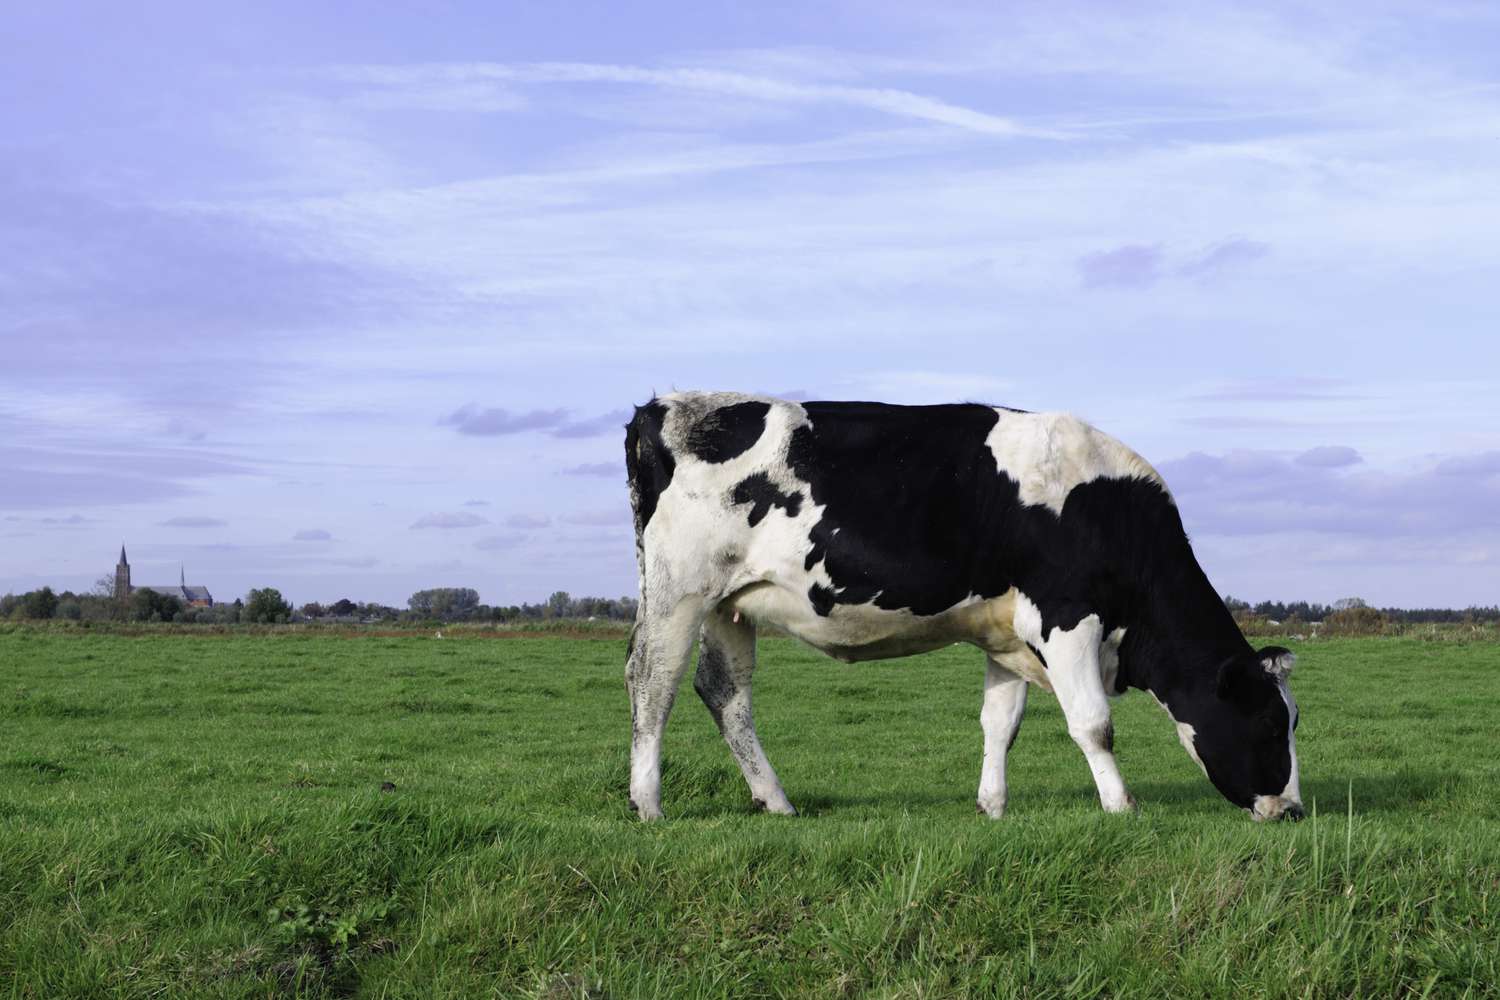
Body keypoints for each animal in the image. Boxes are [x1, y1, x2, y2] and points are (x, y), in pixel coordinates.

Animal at [623, 392, 1303, 823]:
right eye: (1273, 725)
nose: (1293, 810)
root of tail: (662, 408)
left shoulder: (1007, 634)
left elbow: (1001, 724)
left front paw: (992, 807)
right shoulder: (1065, 618)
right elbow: (1094, 724)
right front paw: (1120, 807)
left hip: (728, 604)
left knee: (725, 692)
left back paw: (776, 801)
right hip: (678, 591)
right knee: (652, 680)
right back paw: (648, 803)